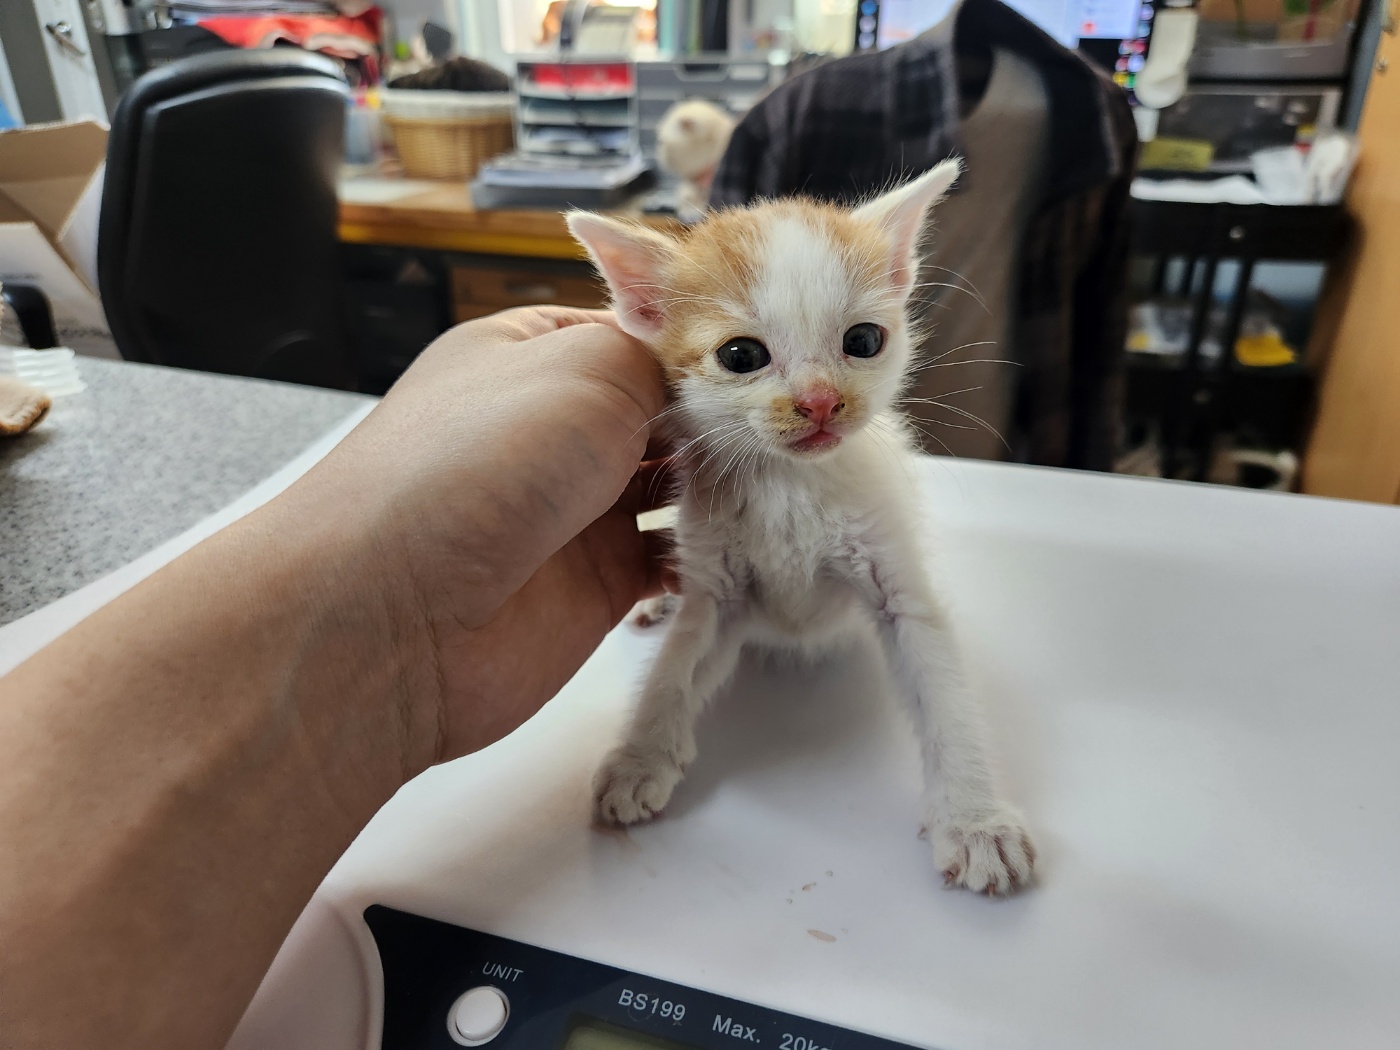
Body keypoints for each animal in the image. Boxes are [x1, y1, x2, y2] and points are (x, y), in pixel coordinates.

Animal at [562, 162, 1036, 896]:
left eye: (863, 341)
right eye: (741, 355)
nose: (818, 401)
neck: (790, 486)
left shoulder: (899, 586)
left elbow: (946, 697)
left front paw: (975, 818)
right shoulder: (718, 590)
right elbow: (674, 669)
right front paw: (640, 756)